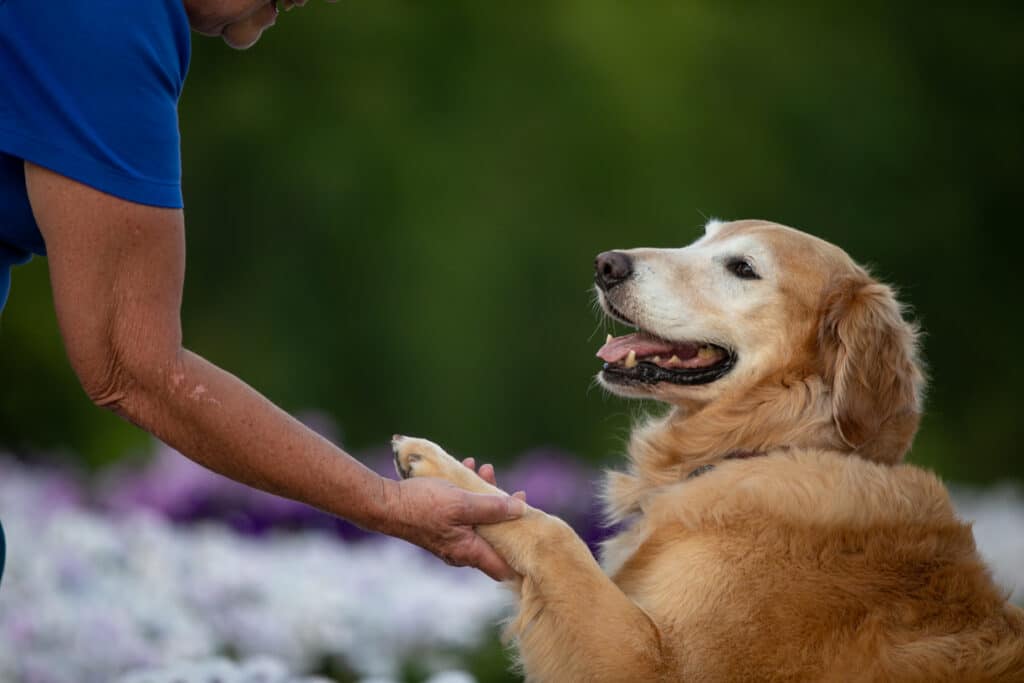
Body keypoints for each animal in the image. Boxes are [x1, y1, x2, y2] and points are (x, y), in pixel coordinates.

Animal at [391, 220, 1024, 683]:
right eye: (701, 239)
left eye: (743, 268)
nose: (606, 264)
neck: (764, 447)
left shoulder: (650, 665)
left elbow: (552, 530)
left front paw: (438, 465)